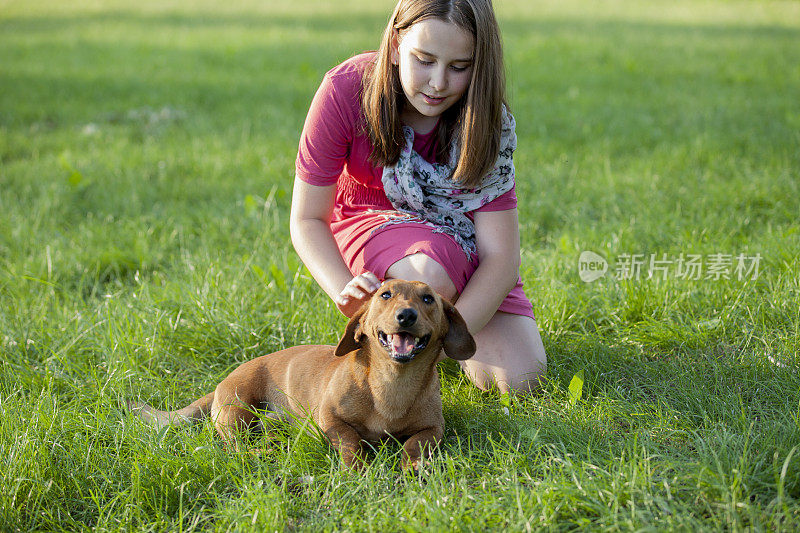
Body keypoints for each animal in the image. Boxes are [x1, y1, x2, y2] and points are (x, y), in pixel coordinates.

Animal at [130, 278, 476, 470]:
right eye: (385, 295)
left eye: (428, 298)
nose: (406, 316)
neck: (391, 383)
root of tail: (220, 383)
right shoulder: (331, 421)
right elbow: (351, 441)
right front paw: (357, 467)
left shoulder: (432, 428)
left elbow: (415, 444)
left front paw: (414, 465)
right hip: (237, 410)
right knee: (233, 446)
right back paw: (259, 451)